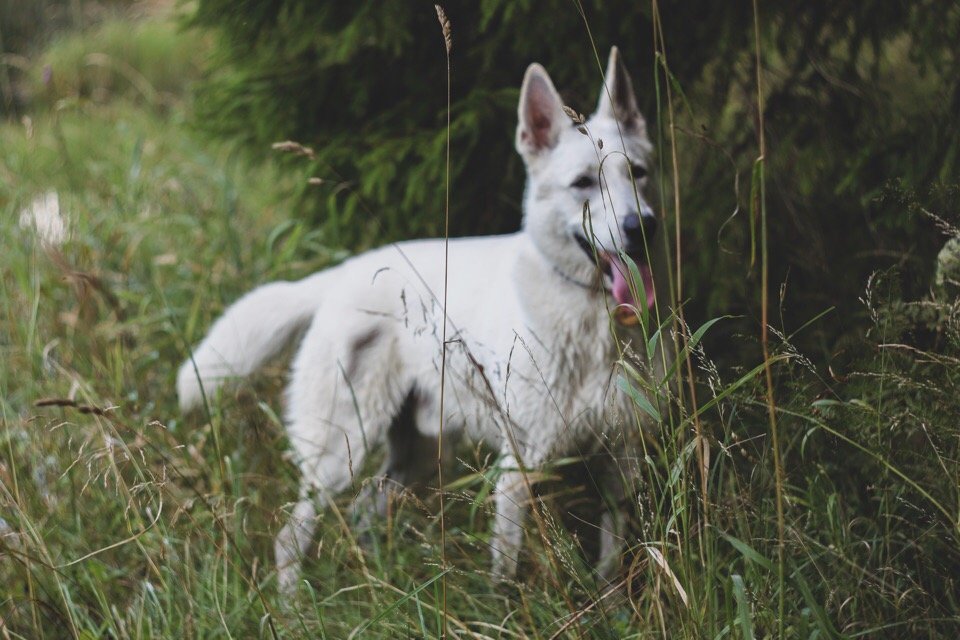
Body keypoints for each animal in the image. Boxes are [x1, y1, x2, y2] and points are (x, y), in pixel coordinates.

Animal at [176, 47, 664, 592]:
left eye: (638, 173)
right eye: (583, 183)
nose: (640, 227)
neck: (593, 327)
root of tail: (340, 274)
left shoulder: (622, 461)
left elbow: (611, 564)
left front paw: (611, 605)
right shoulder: (520, 468)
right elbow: (506, 572)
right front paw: (506, 604)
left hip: (417, 457)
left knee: (365, 513)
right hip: (340, 451)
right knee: (290, 535)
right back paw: (294, 604)